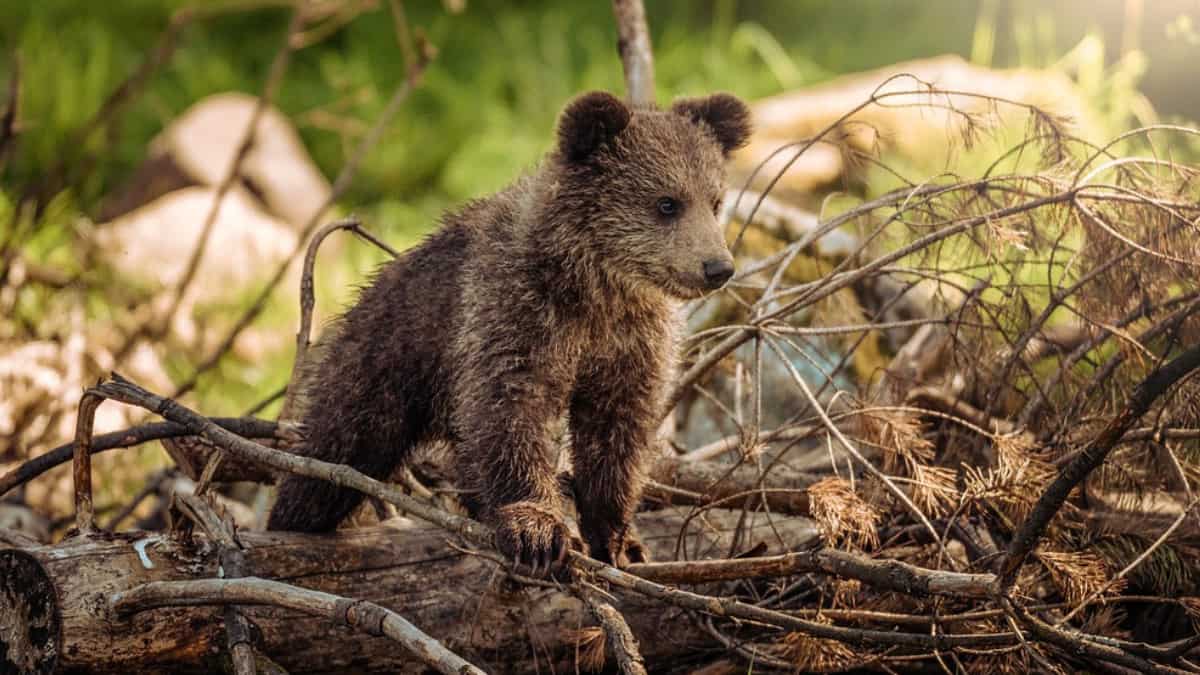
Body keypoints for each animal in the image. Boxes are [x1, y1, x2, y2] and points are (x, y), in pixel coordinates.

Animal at [267, 90, 752, 571]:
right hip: (383, 362)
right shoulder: (515, 313)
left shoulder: (629, 342)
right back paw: (291, 521)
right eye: (667, 202)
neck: (596, 288)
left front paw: (618, 539)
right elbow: (511, 410)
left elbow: (617, 431)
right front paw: (536, 529)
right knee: (334, 453)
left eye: (715, 201)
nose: (717, 267)